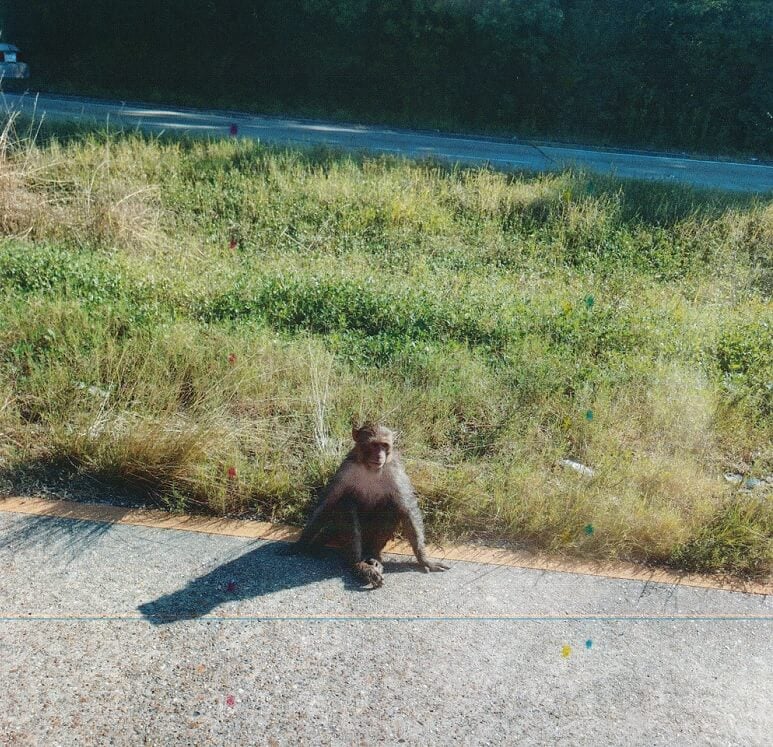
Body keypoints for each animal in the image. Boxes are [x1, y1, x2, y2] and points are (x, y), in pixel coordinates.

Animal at [292, 424, 450, 588]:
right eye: (374, 445)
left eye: (384, 445)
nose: (379, 456)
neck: (370, 468)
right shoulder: (346, 469)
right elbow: (328, 502)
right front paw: (301, 543)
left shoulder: (395, 471)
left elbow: (407, 508)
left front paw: (424, 559)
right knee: (346, 503)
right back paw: (358, 564)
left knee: (392, 506)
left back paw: (373, 557)